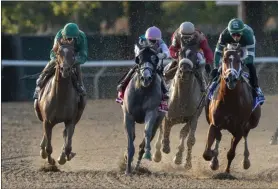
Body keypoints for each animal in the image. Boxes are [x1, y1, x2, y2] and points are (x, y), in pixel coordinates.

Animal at [121, 46, 165, 175]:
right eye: (138, 59)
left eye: (155, 59)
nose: (146, 78)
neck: (142, 91)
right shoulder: (128, 115)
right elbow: (130, 139)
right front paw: (127, 170)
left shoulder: (152, 112)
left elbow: (147, 132)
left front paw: (147, 153)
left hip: (158, 120)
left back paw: (137, 167)